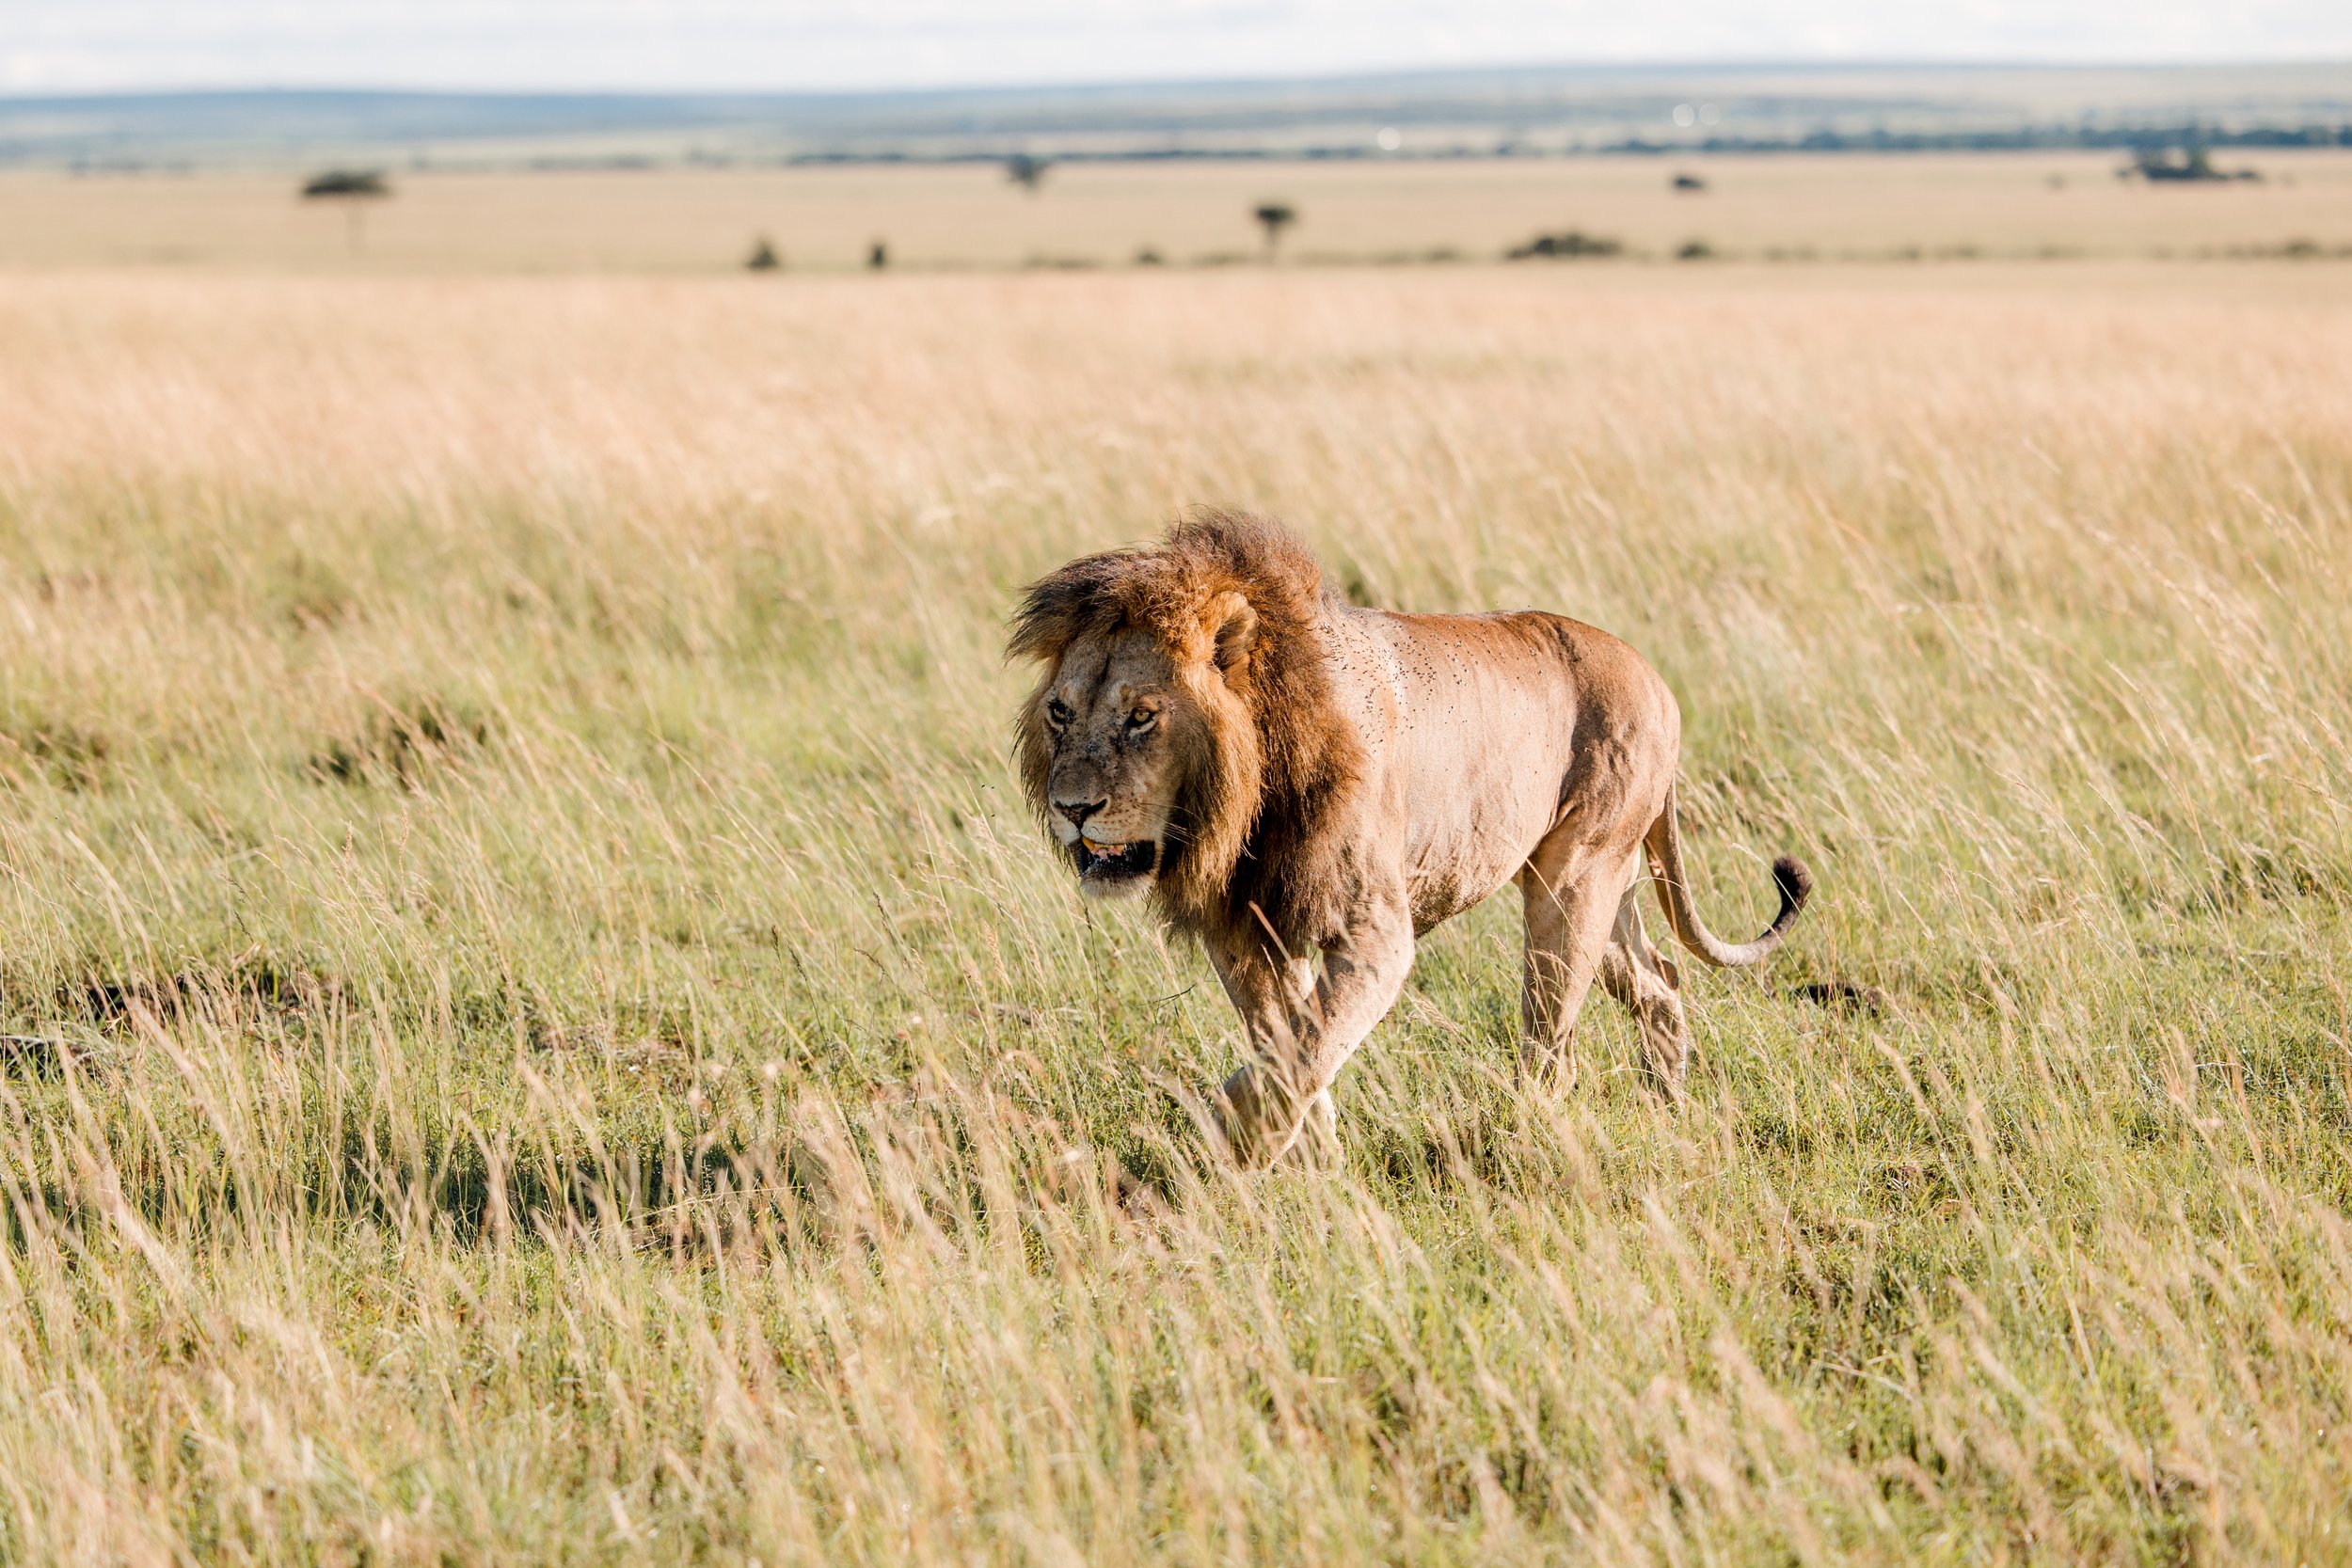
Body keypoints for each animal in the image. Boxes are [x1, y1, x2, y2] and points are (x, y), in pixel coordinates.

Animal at [1002, 512, 1806, 1165]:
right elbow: (1289, 1038)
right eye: (1060, 713)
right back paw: (1667, 1101)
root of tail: (1654, 676)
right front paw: (1311, 1159)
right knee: (1659, 977)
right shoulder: (1247, 926)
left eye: (1141, 716)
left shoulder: (1374, 930)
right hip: (1598, 886)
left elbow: (1304, 1048)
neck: (1243, 795)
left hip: (1574, 882)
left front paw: (1236, 1132)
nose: (1072, 807)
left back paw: (1527, 1138)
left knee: (1551, 1041)